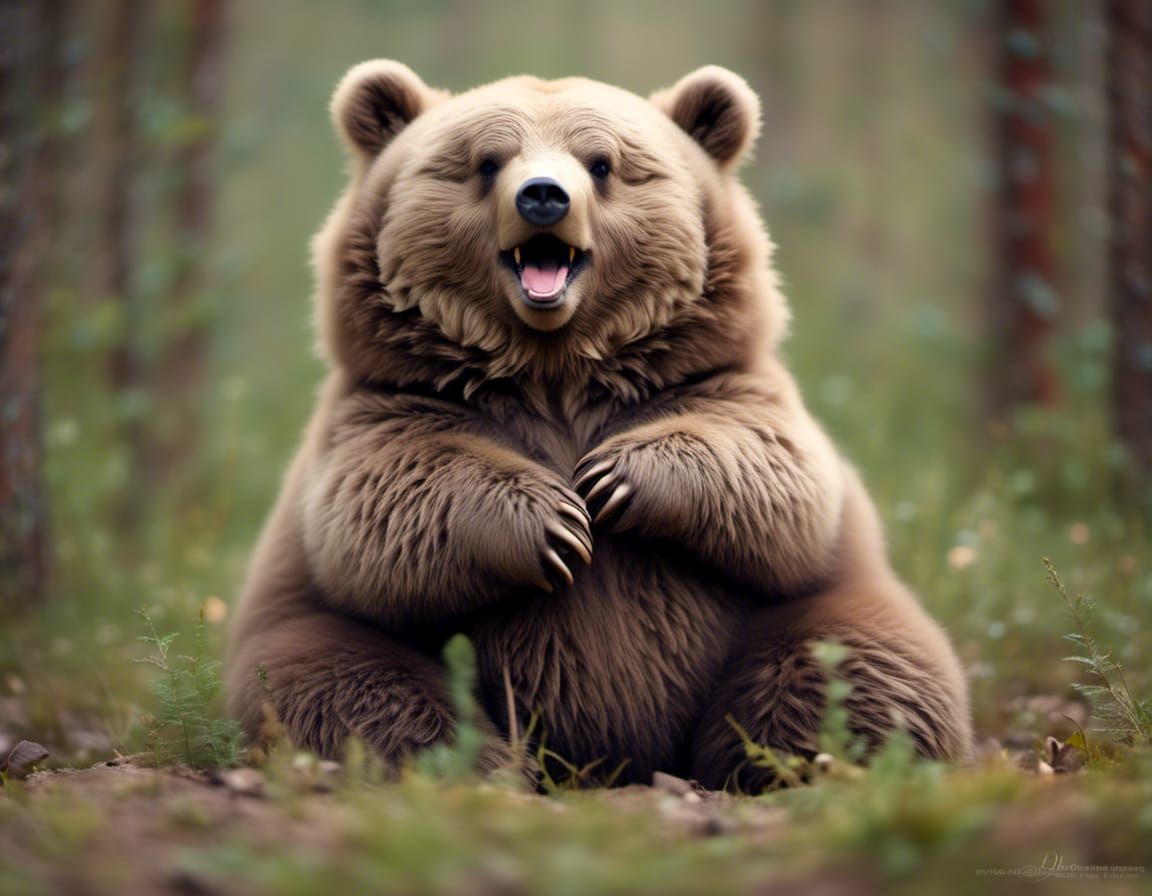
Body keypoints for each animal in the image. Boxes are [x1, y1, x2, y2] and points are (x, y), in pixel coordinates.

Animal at [226, 60, 972, 791]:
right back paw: (475, 767)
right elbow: (379, 501)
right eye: (488, 161)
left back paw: (801, 763)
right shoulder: (391, 401)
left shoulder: (714, 381)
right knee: (352, 695)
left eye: (603, 162)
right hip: (318, 631)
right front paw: (558, 523)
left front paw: (611, 481)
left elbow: (781, 476)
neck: (554, 373)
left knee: (852, 672)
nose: (543, 196)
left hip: (827, 609)